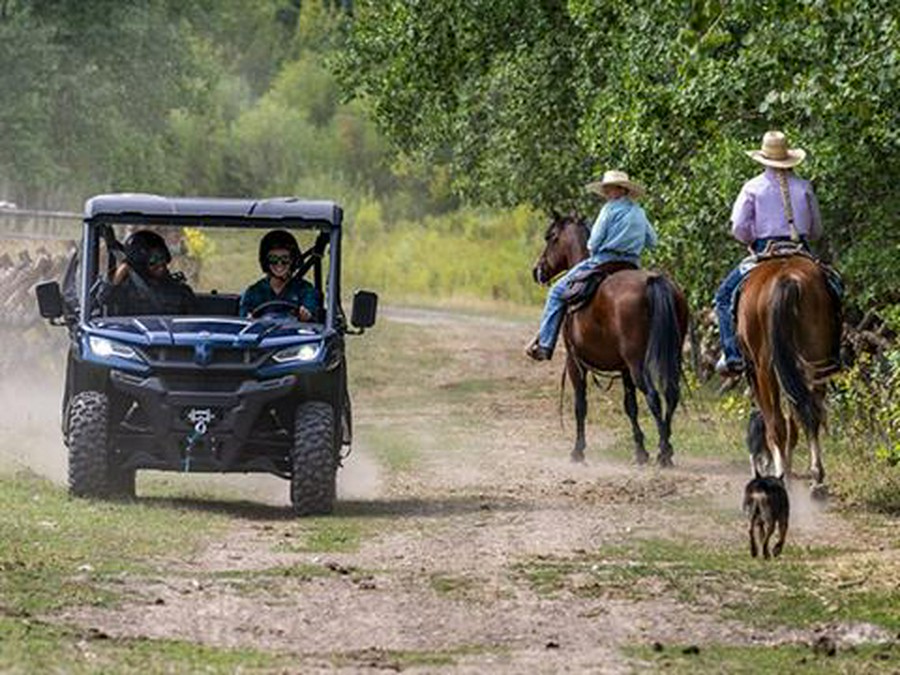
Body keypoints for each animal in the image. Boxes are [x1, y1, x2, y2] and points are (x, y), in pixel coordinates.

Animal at [536, 214, 688, 468]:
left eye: (550, 237)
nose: (537, 270)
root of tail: (654, 281)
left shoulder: (575, 363)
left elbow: (580, 405)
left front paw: (578, 451)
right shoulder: (624, 369)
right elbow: (631, 406)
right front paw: (640, 451)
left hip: (638, 363)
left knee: (654, 397)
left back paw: (663, 452)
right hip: (670, 357)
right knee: (671, 393)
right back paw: (666, 447)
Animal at [736, 256, 840, 494]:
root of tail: (787, 279)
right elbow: (794, 422)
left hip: (765, 370)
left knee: (776, 424)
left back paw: (781, 477)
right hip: (814, 359)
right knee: (810, 413)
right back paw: (816, 478)